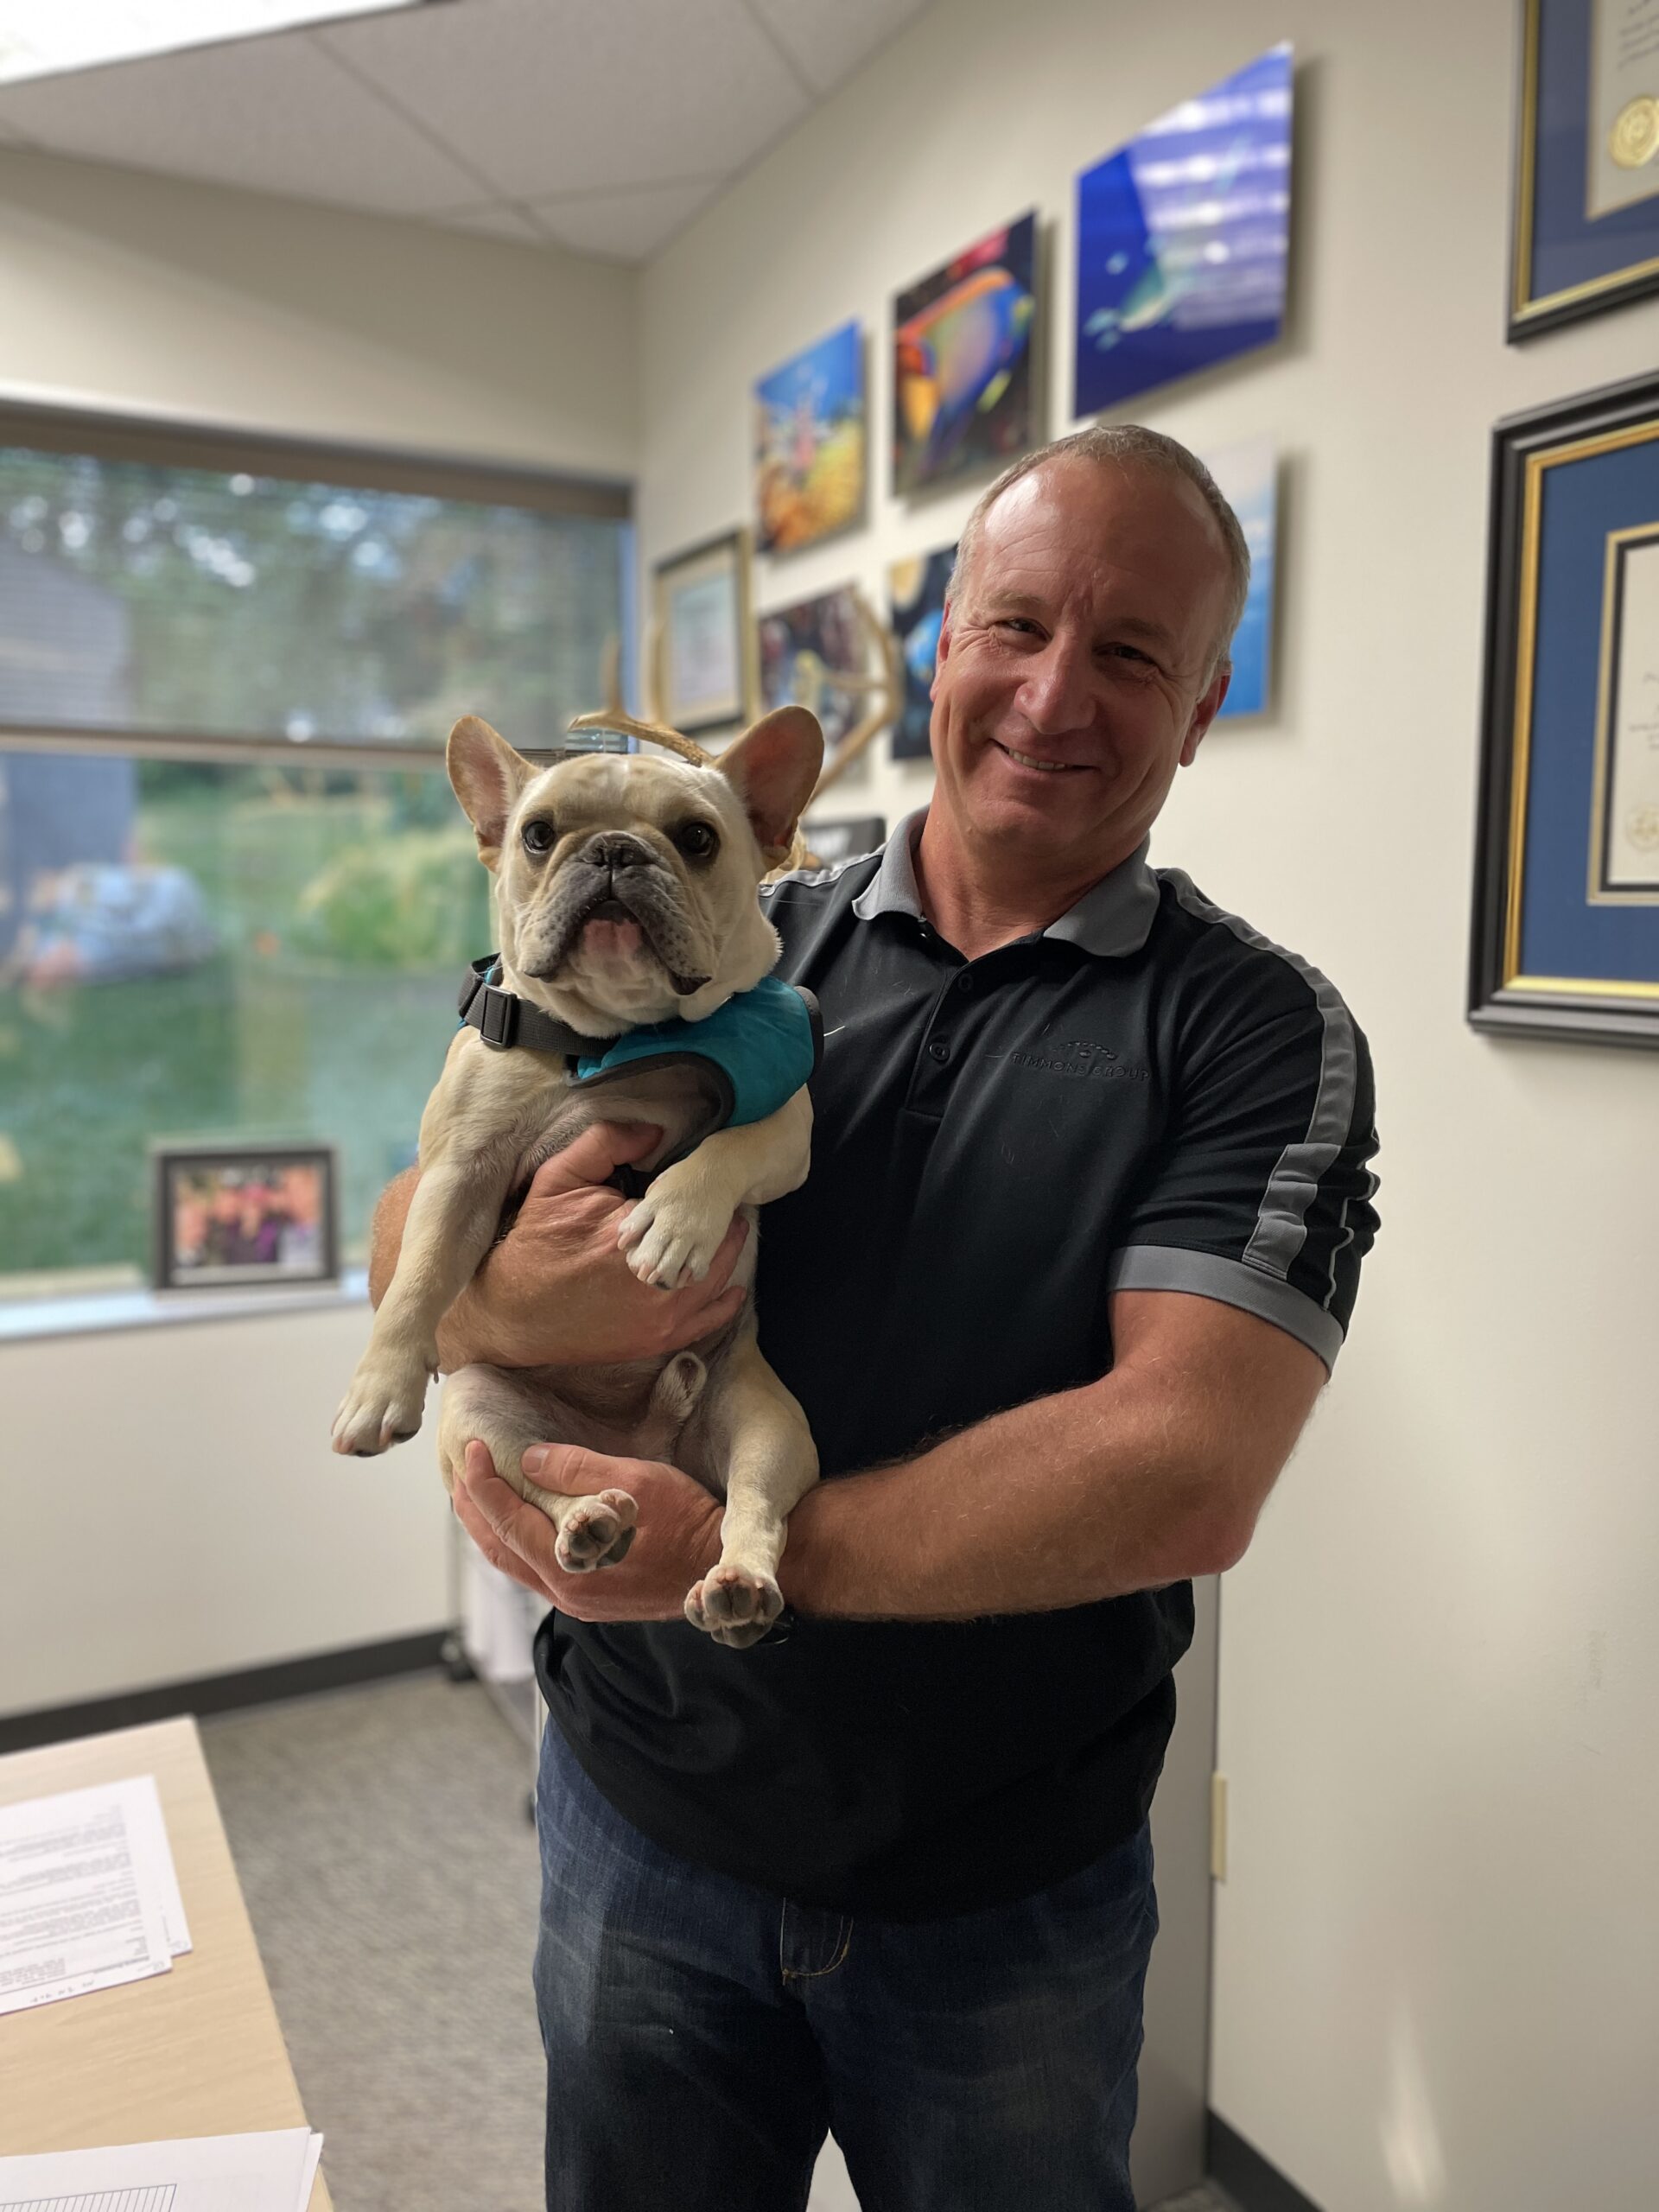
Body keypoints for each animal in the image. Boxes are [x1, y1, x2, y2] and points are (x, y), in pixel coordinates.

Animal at [334, 703, 827, 1645]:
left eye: (698, 838)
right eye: (537, 834)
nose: (613, 851)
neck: (606, 1040)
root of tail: (646, 1443)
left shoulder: (788, 1119)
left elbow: (730, 1151)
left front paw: (673, 1221)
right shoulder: (459, 1169)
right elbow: (417, 1277)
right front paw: (377, 1388)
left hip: (769, 1421)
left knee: (754, 1506)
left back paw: (738, 1585)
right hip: (479, 1408)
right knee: (536, 1476)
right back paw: (590, 1519)